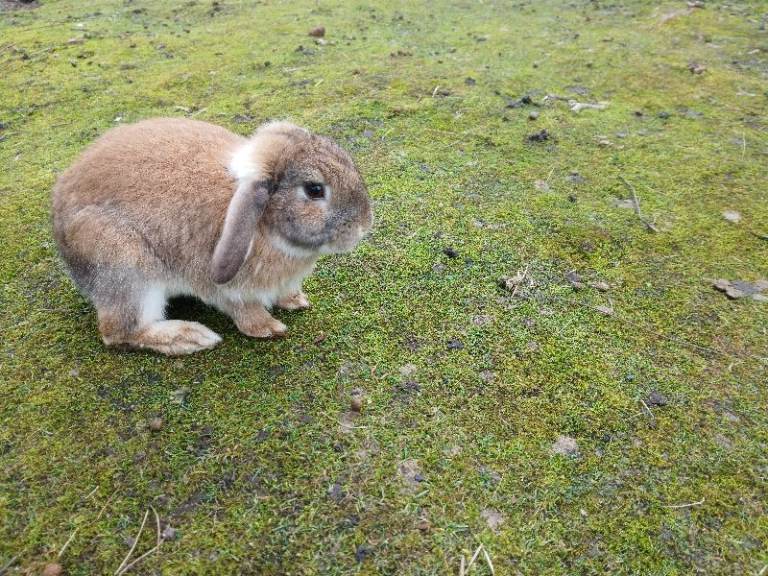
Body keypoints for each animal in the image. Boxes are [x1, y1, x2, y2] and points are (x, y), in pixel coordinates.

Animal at [52, 117, 373, 355]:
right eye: (314, 190)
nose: (364, 226)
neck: (264, 224)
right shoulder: (225, 287)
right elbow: (243, 309)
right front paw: (268, 327)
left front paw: (295, 300)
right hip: (126, 268)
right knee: (119, 331)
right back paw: (189, 337)